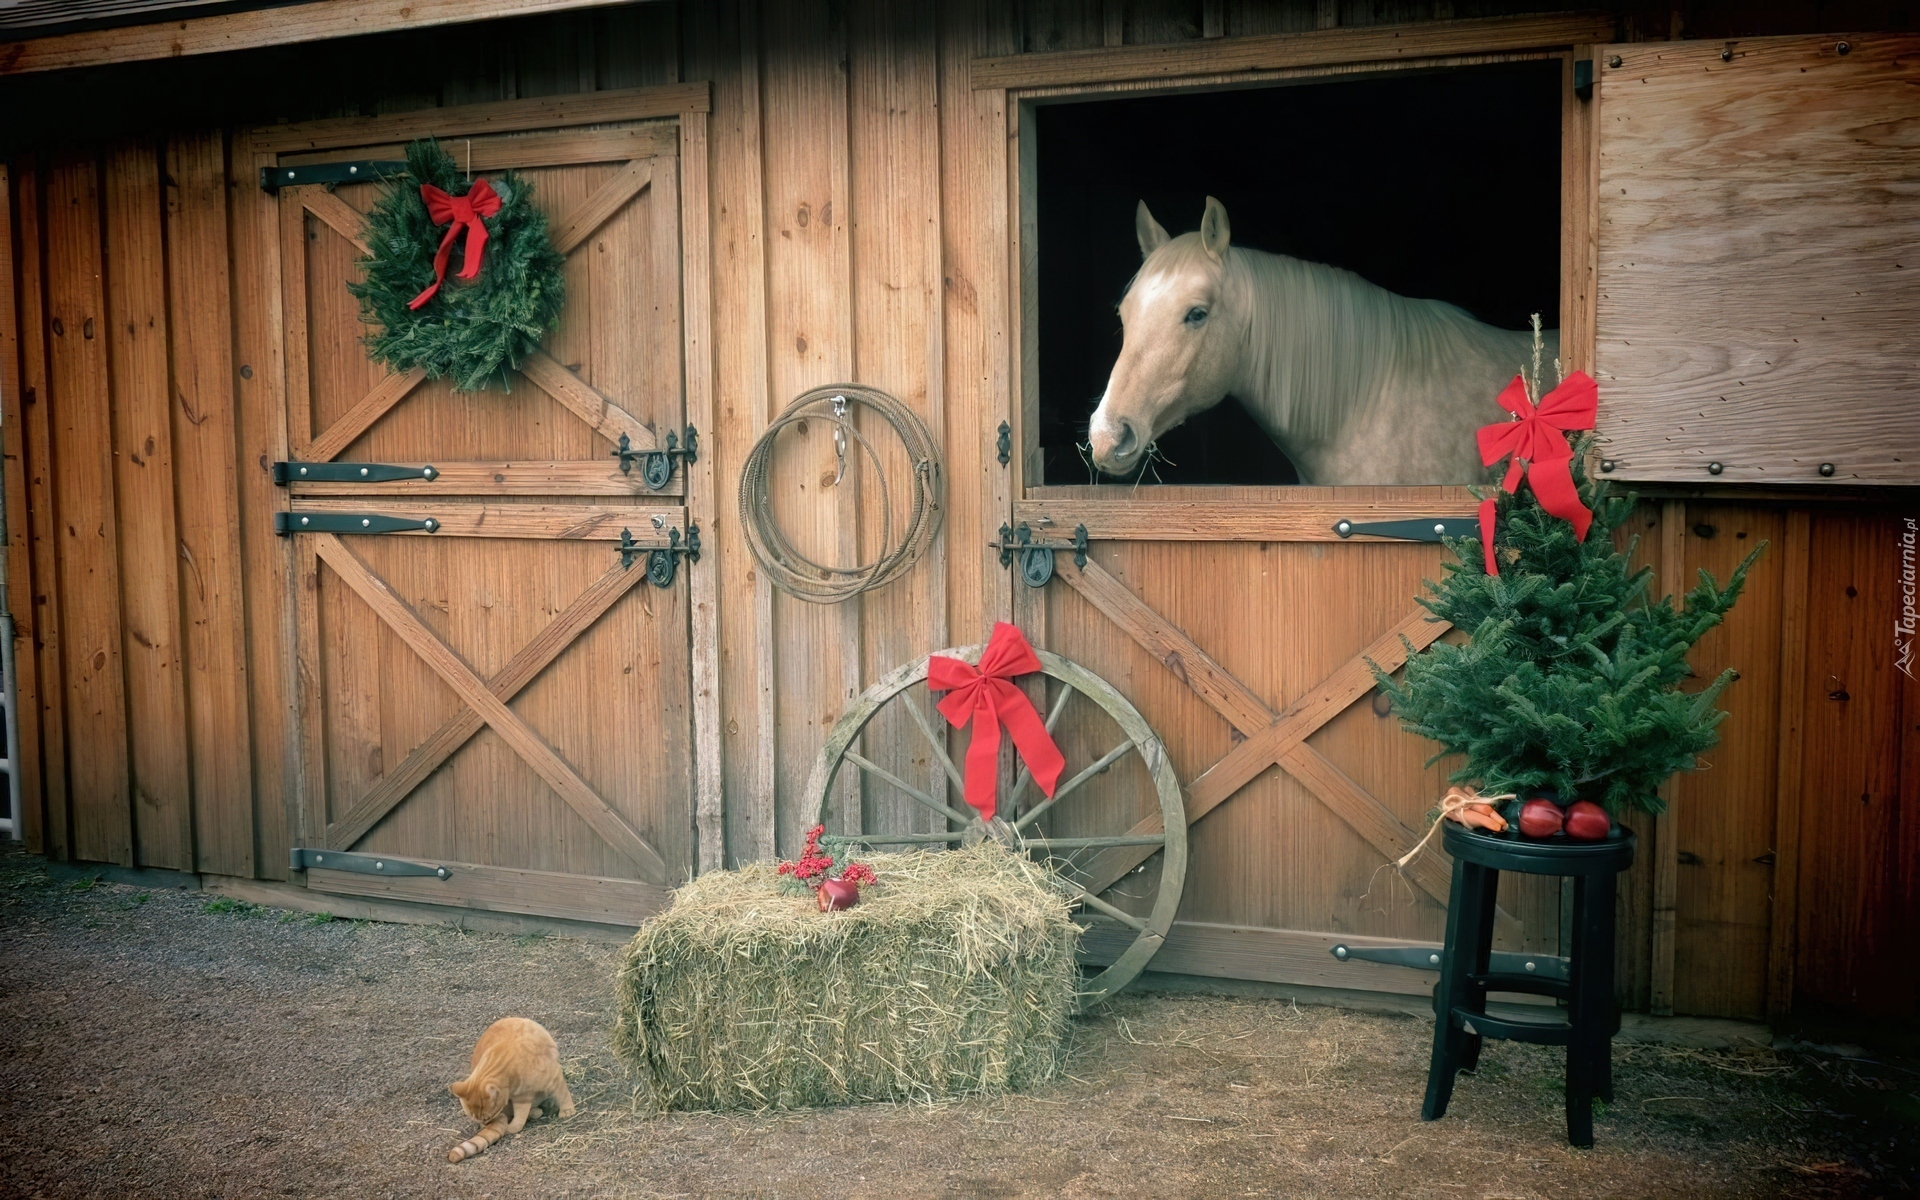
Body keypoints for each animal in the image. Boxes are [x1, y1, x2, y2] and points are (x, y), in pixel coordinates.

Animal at [445, 1013, 572, 1159]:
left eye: (487, 1118)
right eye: (476, 1119)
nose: (485, 1125)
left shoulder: (552, 1077)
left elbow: (563, 1093)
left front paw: (568, 1111)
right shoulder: (521, 1097)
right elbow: (521, 1114)